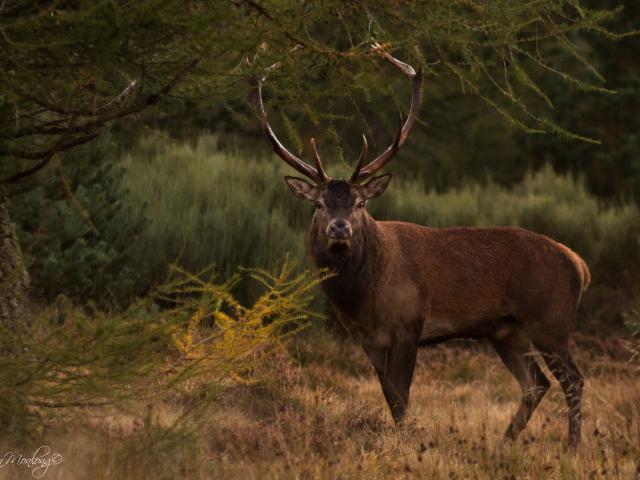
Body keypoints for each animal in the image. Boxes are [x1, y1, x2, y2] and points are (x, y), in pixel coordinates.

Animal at [249, 44, 590, 448]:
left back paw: (571, 447)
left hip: (550, 319)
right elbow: (389, 396)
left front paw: (405, 443)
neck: (363, 297)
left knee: (573, 379)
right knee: (536, 383)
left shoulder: (409, 325)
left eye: (360, 203)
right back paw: (504, 442)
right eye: (317, 204)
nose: (339, 227)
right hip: (507, 331)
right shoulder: (367, 340)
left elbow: (402, 399)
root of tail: (578, 264)